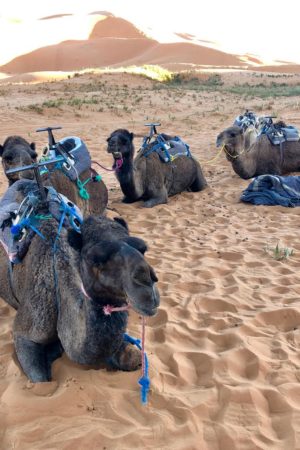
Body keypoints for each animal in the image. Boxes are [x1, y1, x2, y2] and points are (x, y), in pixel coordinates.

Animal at [0, 213, 159, 382]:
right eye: (95, 259)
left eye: (143, 249)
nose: (147, 286)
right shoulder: (26, 332)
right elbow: (40, 378)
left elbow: (134, 358)